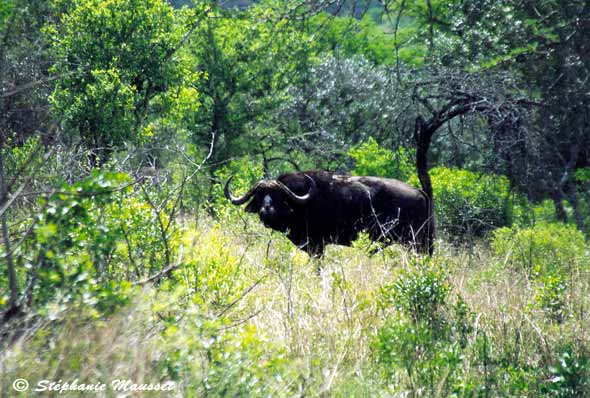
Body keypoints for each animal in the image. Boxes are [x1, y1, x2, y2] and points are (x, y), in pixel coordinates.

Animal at [225, 170, 434, 256]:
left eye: (277, 195)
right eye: (260, 195)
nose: (266, 209)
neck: (300, 204)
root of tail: (419, 192)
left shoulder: (317, 246)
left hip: (417, 242)